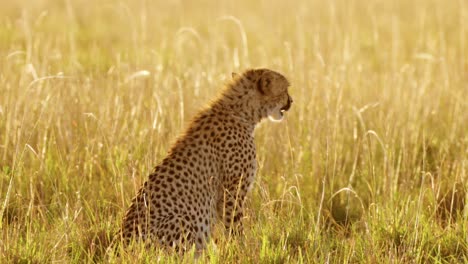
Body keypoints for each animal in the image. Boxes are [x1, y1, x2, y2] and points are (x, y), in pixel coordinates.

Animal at [116, 67, 292, 252]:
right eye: (285, 90)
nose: (291, 101)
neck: (240, 111)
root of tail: (118, 245)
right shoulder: (231, 193)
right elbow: (235, 227)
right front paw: (242, 251)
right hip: (183, 219)